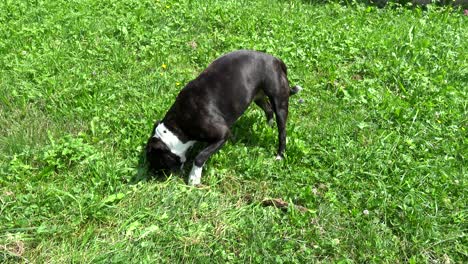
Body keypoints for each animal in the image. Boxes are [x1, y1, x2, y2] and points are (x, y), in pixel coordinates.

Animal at [145, 50, 304, 186]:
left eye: (156, 161)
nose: (153, 175)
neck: (178, 127)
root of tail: (275, 59)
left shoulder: (222, 134)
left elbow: (200, 156)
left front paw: (194, 178)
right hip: (258, 96)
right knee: (268, 109)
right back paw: (268, 126)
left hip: (279, 101)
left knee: (282, 131)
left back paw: (280, 155)